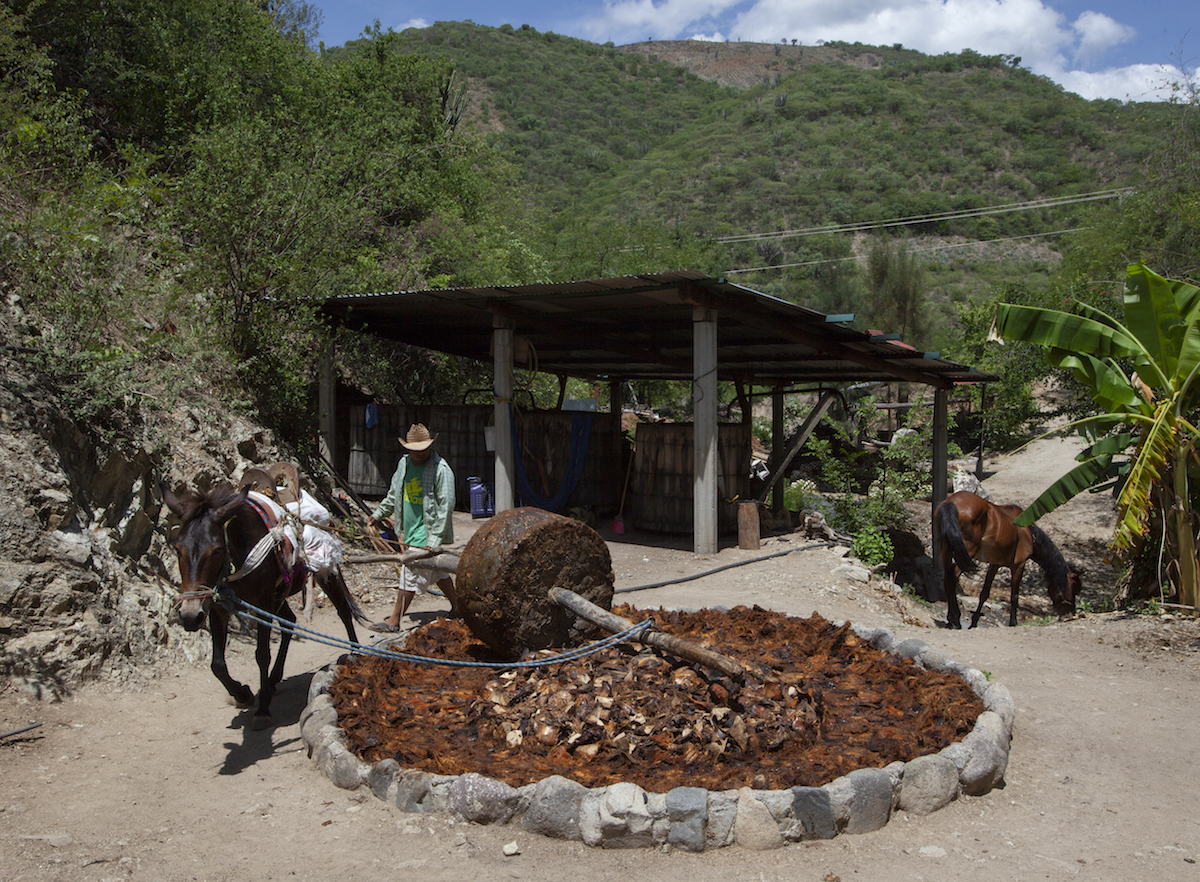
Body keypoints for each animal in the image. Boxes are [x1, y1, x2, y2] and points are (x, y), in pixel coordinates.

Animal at [164, 482, 367, 724]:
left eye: (217, 550)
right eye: (178, 549)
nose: (189, 616)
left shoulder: (261, 606)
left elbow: (262, 654)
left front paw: (262, 711)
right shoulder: (218, 608)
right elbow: (217, 665)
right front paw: (243, 694)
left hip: (326, 573)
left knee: (343, 611)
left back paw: (355, 654)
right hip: (278, 596)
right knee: (289, 621)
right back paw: (271, 682)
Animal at [936, 489, 1080, 628]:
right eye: (1073, 588)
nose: (1071, 614)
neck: (1028, 533)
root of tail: (951, 503)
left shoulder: (994, 564)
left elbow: (984, 593)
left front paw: (974, 622)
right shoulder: (1019, 565)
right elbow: (1014, 596)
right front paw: (1013, 622)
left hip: (947, 550)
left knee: (947, 578)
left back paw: (950, 619)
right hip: (967, 552)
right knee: (953, 577)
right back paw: (955, 619)